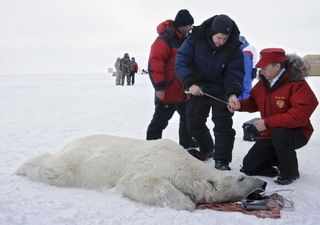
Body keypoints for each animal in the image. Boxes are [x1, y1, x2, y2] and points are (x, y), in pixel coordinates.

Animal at [16, 135, 268, 211]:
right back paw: (23, 168)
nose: (264, 183)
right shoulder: (155, 163)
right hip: (82, 164)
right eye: (241, 177)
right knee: (55, 169)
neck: (185, 164)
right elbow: (139, 182)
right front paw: (187, 202)